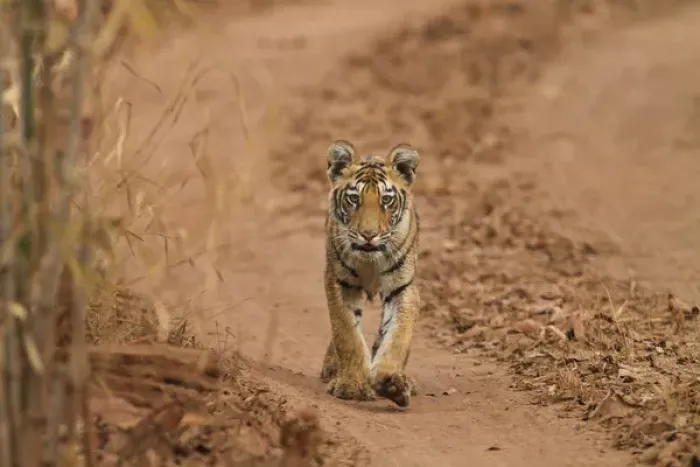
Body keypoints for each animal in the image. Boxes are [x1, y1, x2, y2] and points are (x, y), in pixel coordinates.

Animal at [319, 139, 421, 408]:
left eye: (386, 200)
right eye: (354, 198)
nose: (368, 234)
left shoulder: (402, 288)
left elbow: (397, 335)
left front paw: (389, 380)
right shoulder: (339, 282)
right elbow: (346, 333)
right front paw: (351, 385)